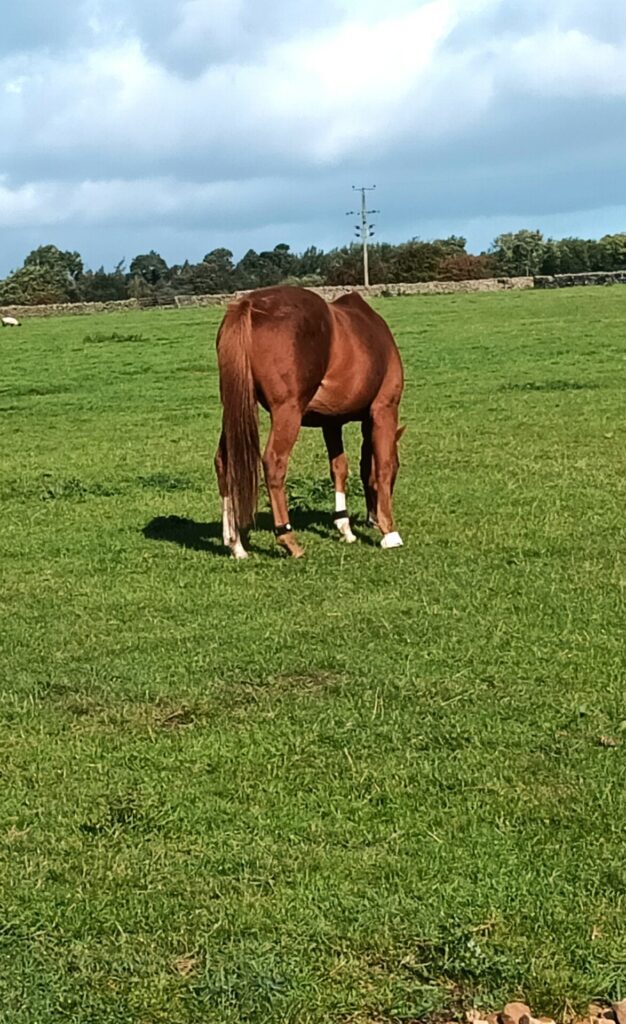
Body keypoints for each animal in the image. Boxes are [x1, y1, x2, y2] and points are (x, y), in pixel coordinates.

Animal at [213, 286, 403, 561]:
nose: (373, 520)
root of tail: (249, 304)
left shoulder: (331, 422)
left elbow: (340, 468)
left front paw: (345, 528)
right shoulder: (384, 409)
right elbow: (383, 466)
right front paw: (390, 532)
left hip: (235, 409)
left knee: (224, 462)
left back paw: (235, 543)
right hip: (287, 412)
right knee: (274, 462)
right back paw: (288, 539)